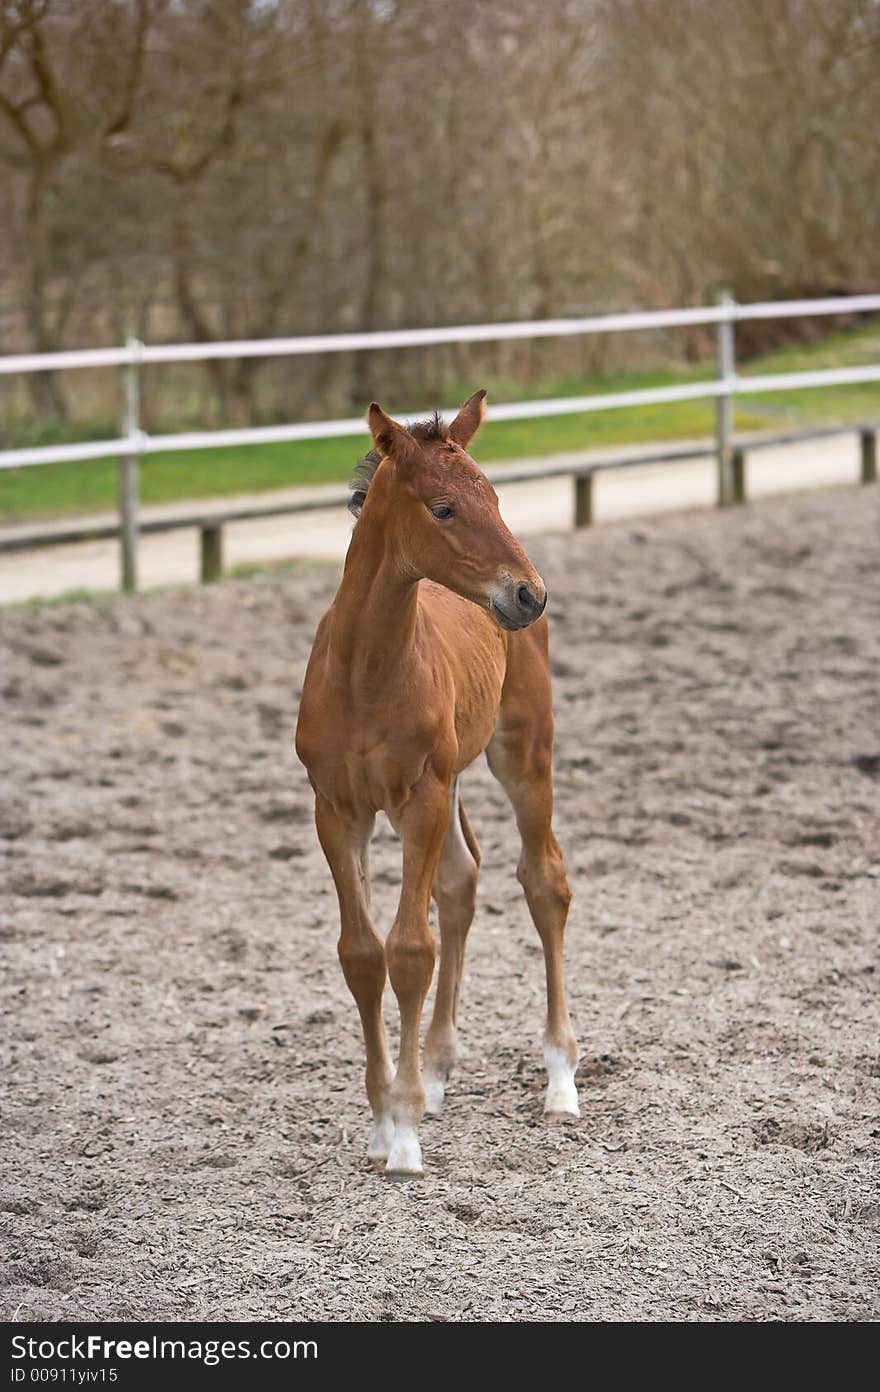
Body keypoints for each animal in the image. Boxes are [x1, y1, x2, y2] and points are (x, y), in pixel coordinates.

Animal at [299, 389, 582, 1174]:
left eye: (495, 495)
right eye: (444, 508)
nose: (528, 594)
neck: (365, 671)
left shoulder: (420, 796)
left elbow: (409, 951)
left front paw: (402, 1131)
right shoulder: (338, 810)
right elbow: (362, 954)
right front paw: (384, 1115)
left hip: (521, 751)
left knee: (544, 880)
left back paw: (560, 1081)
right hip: (447, 781)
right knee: (461, 880)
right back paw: (437, 1069)